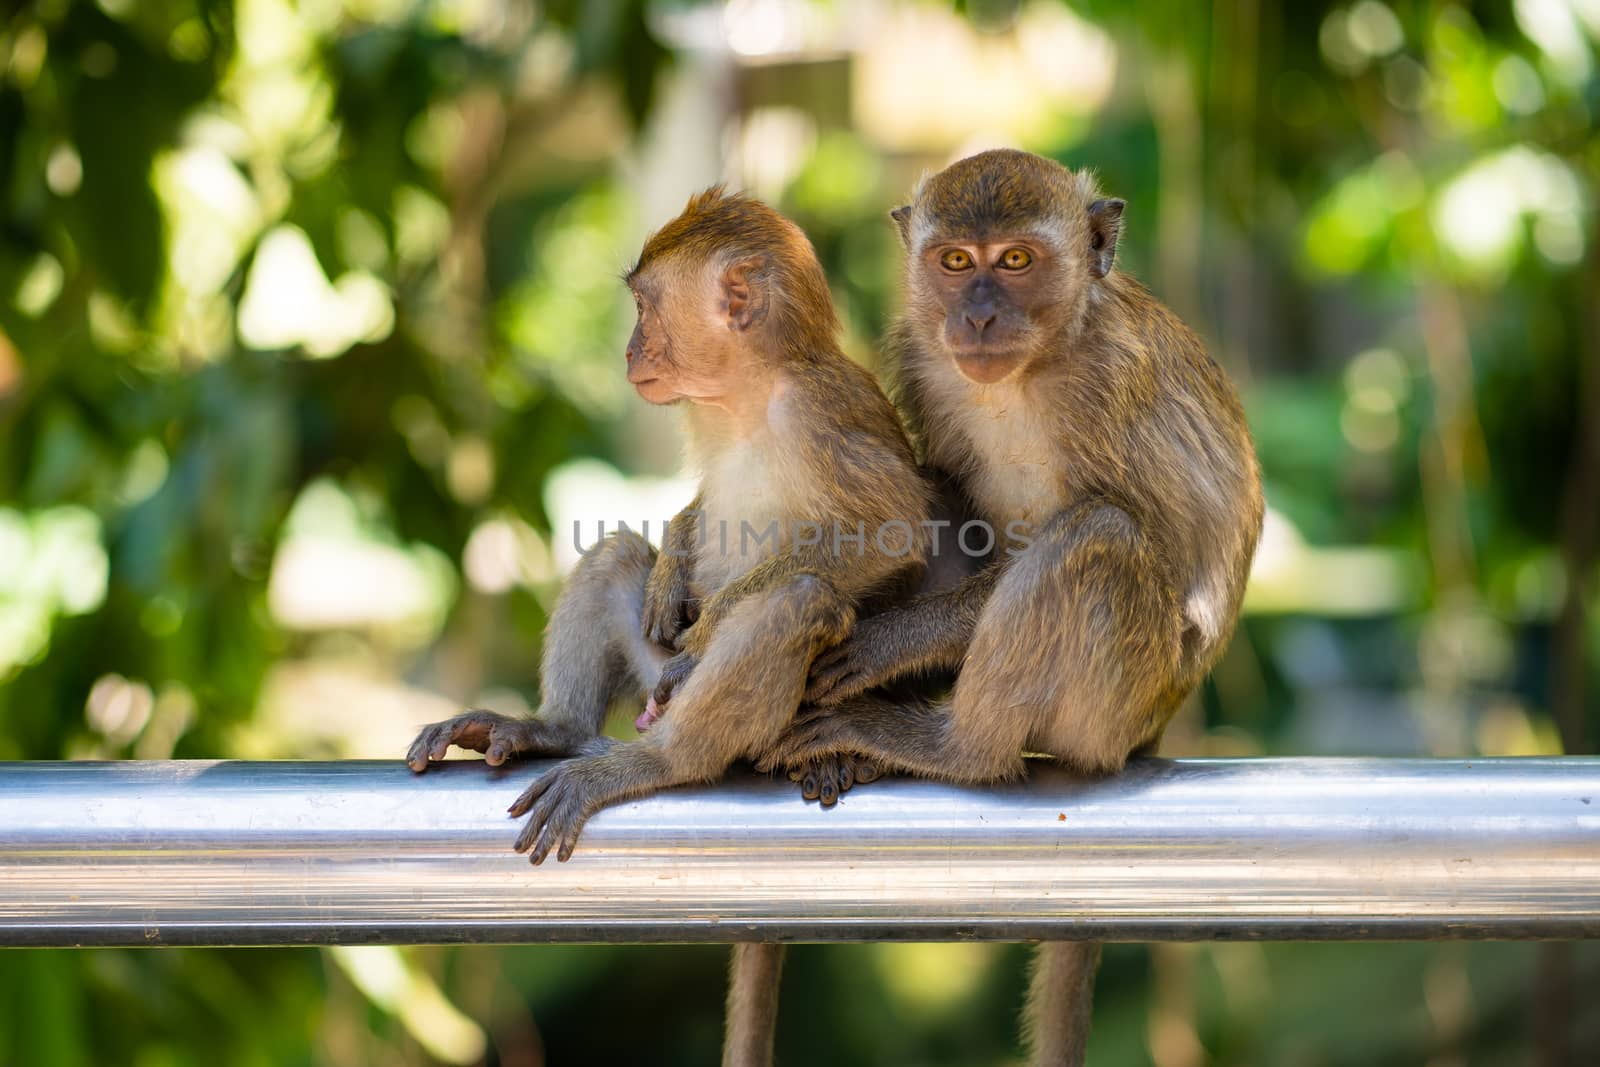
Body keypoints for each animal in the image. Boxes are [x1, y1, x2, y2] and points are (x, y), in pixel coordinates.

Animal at [409, 187, 934, 1067]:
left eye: (645, 307)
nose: (627, 350)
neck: (748, 398)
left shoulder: (822, 413)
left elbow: (895, 533)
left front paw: (713, 623)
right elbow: (689, 515)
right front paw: (676, 554)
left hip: (760, 723)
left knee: (800, 600)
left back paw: (659, 758)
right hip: (646, 673)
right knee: (616, 553)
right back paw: (552, 726)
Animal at [755, 150, 1267, 1067]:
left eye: (1018, 260)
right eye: (956, 262)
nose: (980, 314)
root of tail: (1154, 724)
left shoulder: (1110, 389)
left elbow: (1163, 554)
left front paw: (889, 643)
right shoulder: (921, 357)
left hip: (1118, 698)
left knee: (1099, 535)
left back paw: (947, 744)